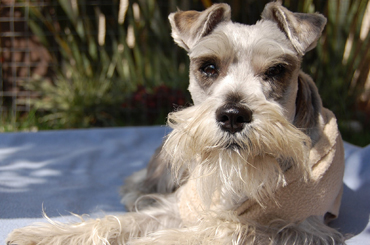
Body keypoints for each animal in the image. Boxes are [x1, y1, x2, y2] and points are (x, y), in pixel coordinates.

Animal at [7, 1, 346, 245]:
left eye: (277, 70)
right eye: (208, 67)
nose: (232, 115)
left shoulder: (298, 227)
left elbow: (222, 229)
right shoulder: (178, 206)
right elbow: (118, 221)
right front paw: (42, 236)